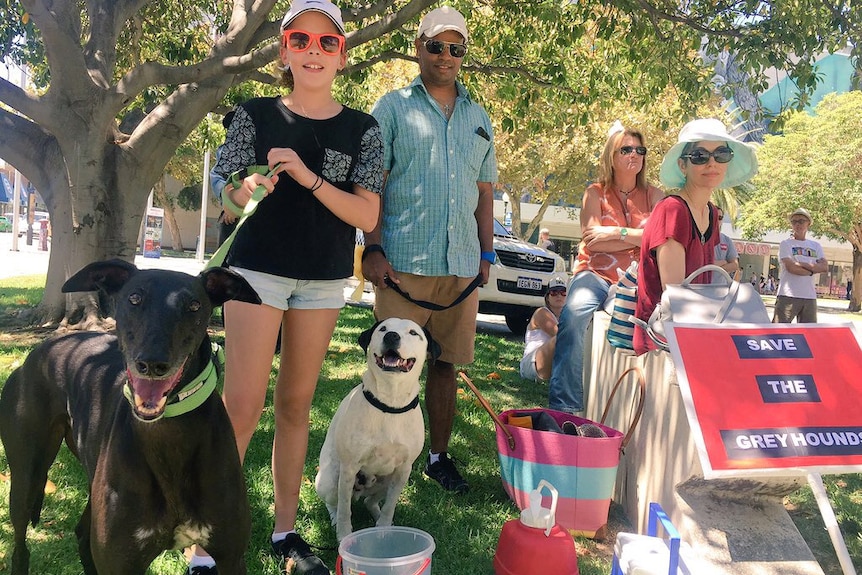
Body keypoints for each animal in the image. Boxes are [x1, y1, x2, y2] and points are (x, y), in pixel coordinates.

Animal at [316, 318, 438, 544]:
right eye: (383, 328)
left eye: (413, 333)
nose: (391, 336)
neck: (390, 402)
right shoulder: (348, 469)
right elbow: (345, 510)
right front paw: (344, 535)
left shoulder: (404, 469)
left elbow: (390, 506)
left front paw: (384, 528)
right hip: (330, 479)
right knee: (334, 503)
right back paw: (335, 518)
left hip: (389, 480)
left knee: (370, 502)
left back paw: (379, 518)